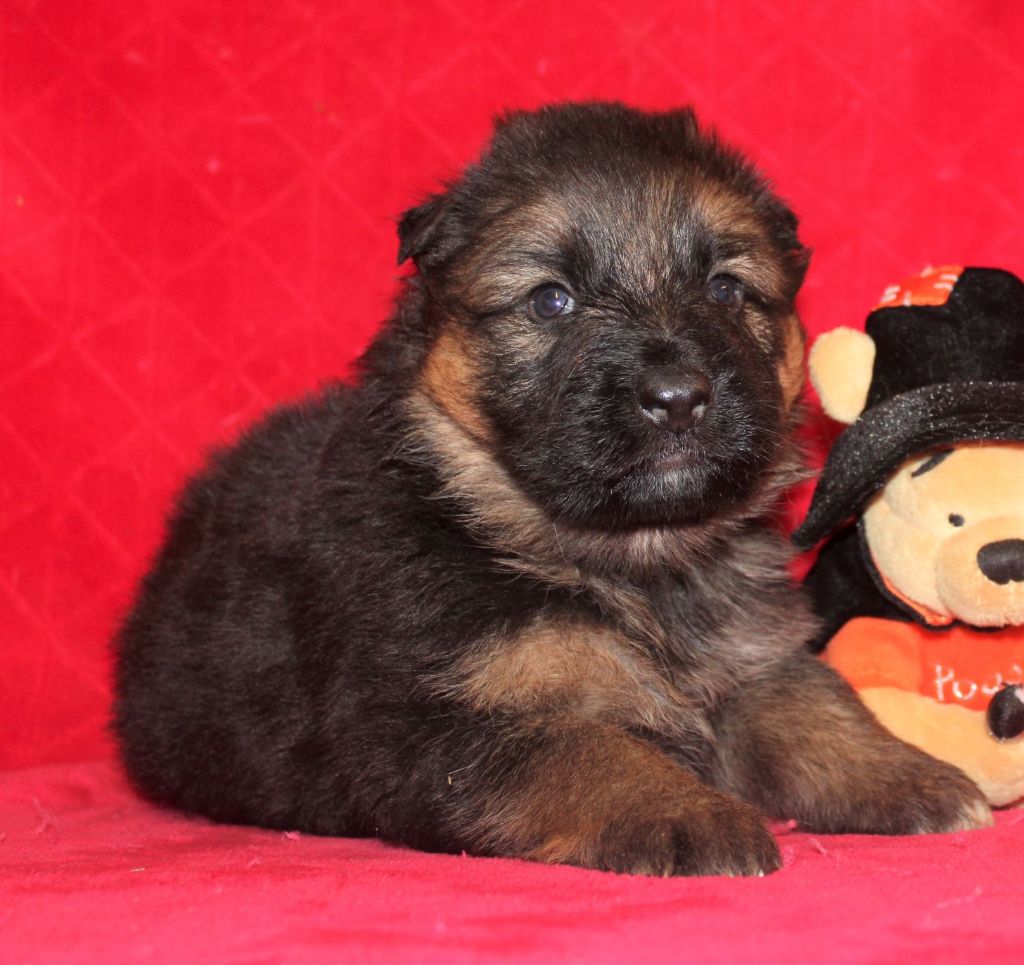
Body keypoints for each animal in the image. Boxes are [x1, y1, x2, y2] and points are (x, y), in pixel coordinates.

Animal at [114, 103, 991, 876]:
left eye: (723, 288)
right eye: (551, 300)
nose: (678, 396)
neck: (626, 563)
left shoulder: (751, 657)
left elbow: (817, 704)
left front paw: (908, 773)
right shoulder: (431, 725)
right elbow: (584, 748)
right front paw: (688, 812)